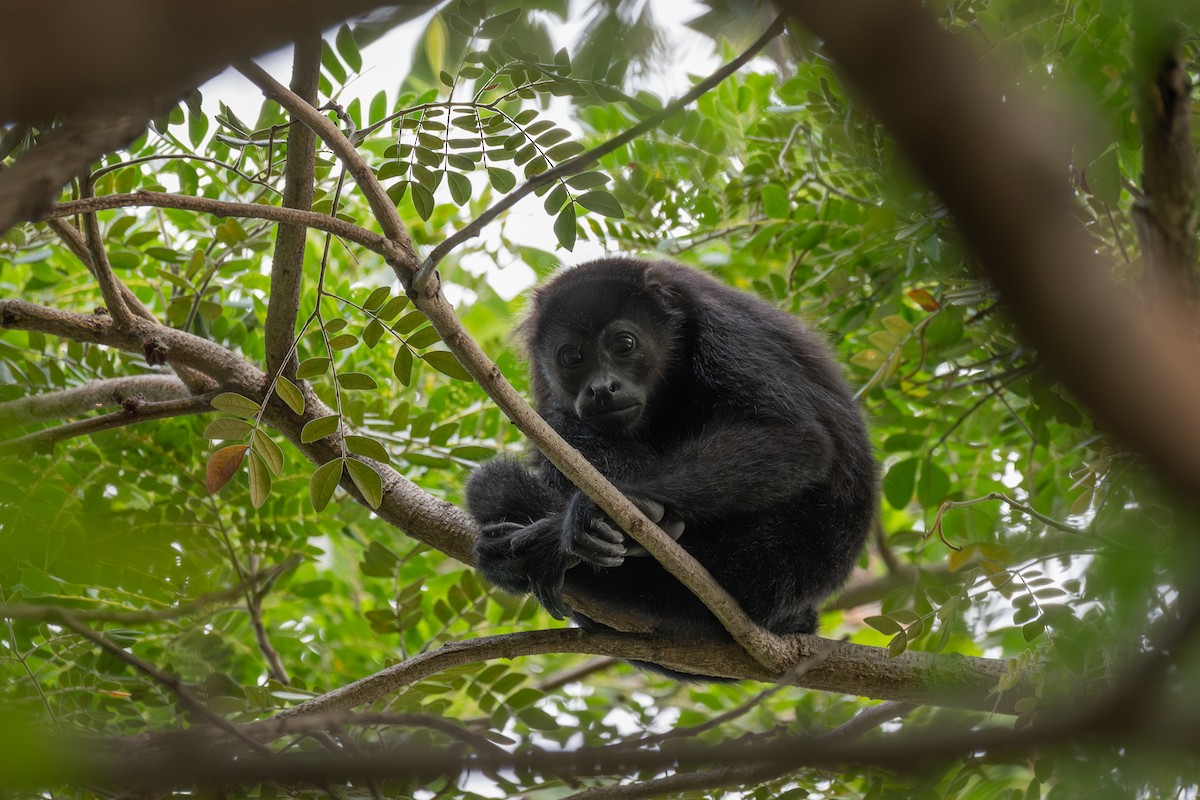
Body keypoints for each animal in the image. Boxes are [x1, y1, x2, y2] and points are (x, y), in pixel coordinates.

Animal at [466, 257, 877, 673]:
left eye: (625, 344)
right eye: (571, 357)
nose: (601, 388)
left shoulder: (723, 325)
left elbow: (796, 438)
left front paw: (613, 508)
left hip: (778, 550)